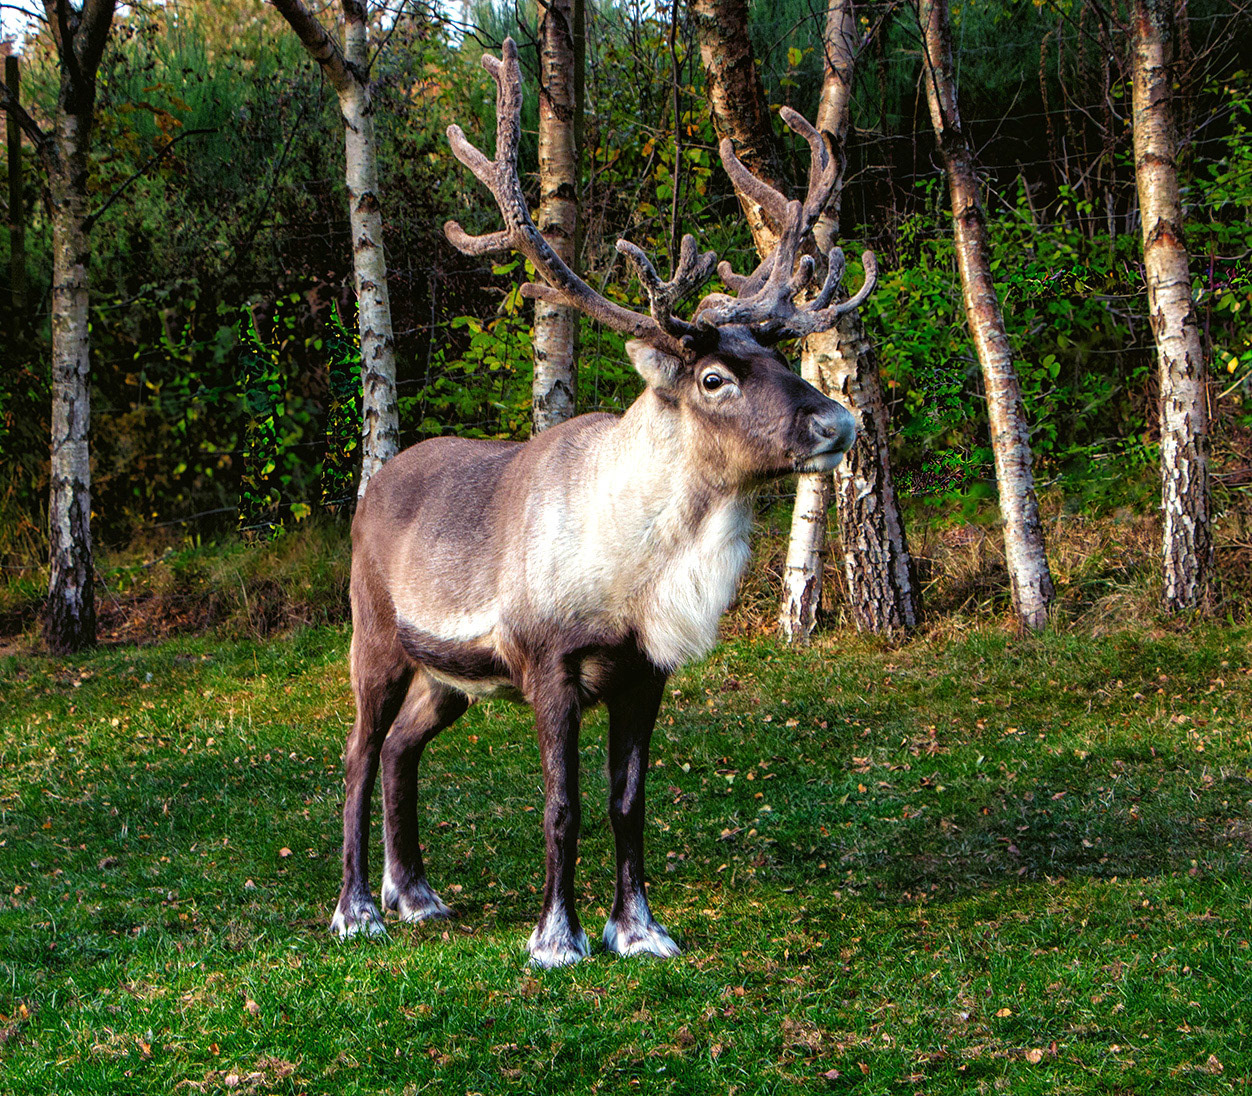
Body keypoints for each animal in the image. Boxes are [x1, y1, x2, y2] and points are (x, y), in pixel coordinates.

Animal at [331, 38, 878, 968]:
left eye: (779, 357)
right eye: (714, 377)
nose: (837, 420)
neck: (643, 567)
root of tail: (375, 490)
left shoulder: (643, 672)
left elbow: (628, 804)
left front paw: (641, 930)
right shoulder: (549, 665)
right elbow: (564, 805)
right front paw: (557, 937)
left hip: (451, 678)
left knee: (403, 748)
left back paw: (418, 894)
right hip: (376, 638)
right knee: (360, 754)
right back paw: (358, 908)